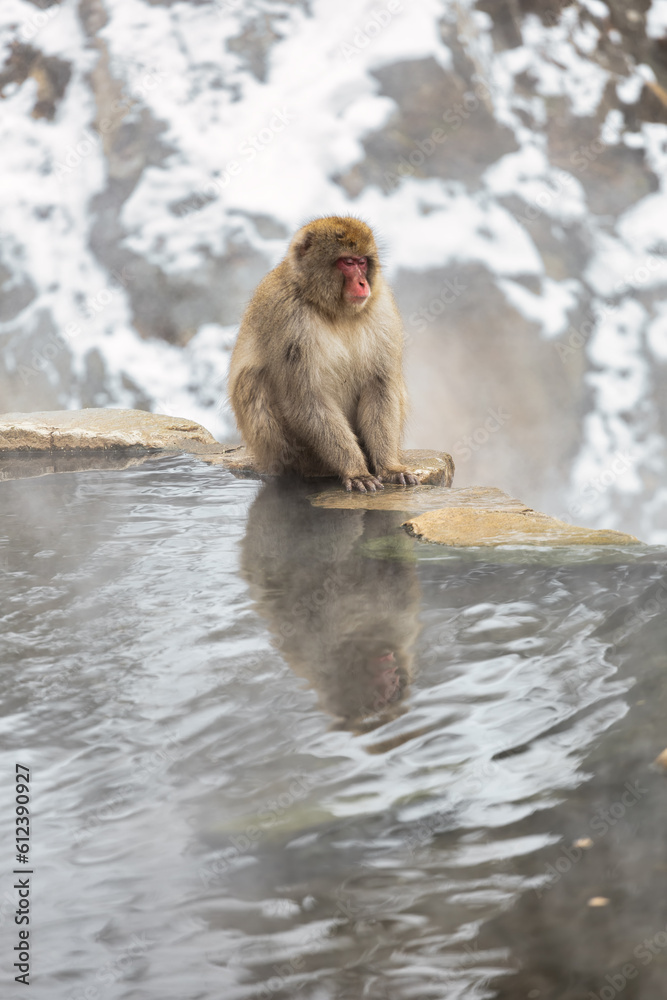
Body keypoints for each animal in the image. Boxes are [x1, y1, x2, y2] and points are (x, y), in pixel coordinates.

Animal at [228, 216, 421, 493]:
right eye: (347, 262)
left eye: (362, 261)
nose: (362, 283)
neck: (334, 310)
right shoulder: (289, 318)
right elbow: (306, 398)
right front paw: (355, 470)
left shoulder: (382, 309)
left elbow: (380, 386)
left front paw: (389, 467)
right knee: (251, 380)